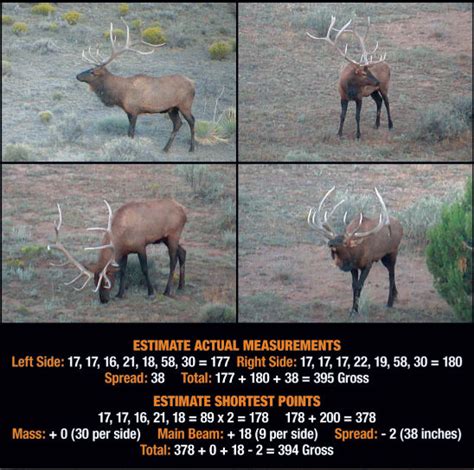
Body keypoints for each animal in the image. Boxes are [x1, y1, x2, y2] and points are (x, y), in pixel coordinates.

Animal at [48, 199, 187, 304]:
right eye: (94, 282)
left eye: (106, 282)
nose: (103, 300)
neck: (121, 237)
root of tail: (184, 211)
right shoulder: (124, 252)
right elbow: (122, 271)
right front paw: (119, 294)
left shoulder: (140, 246)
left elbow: (145, 269)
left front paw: (151, 292)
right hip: (165, 238)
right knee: (183, 252)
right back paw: (181, 286)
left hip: (173, 234)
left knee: (173, 260)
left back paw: (167, 291)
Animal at [77, 20, 195, 151]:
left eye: (92, 72)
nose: (77, 75)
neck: (120, 94)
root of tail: (193, 84)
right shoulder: (128, 111)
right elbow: (129, 132)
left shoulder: (134, 110)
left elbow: (131, 132)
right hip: (172, 108)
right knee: (178, 123)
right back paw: (165, 148)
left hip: (185, 104)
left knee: (191, 121)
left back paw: (191, 148)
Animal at [308, 187, 404, 316]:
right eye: (335, 238)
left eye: (344, 242)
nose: (330, 243)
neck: (355, 255)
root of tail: (401, 226)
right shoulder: (353, 267)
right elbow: (354, 286)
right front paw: (353, 309)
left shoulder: (368, 264)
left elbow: (359, 285)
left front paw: (356, 311)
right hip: (384, 257)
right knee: (391, 272)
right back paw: (395, 295)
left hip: (392, 252)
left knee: (391, 274)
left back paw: (389, 303)